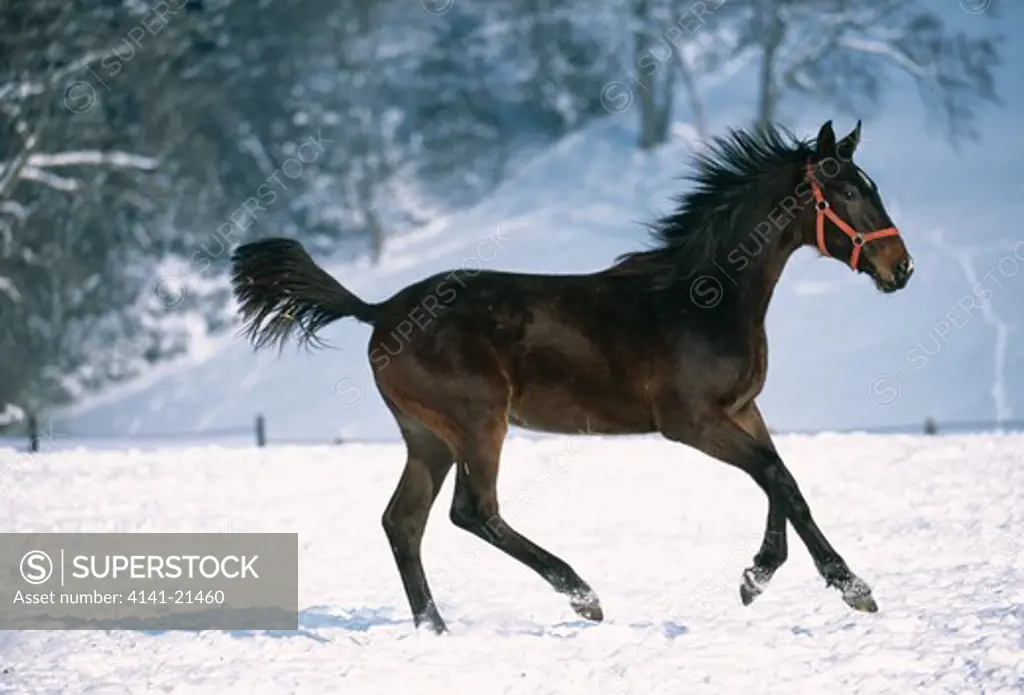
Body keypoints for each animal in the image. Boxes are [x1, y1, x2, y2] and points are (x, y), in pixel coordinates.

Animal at [230, 120, 913, 634]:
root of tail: (379, 311)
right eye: (848, 193)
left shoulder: (743, 410)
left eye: (871, 187)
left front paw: (761, 578)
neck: (704, 298)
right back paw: (583, 595)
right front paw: (846, 587)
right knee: (472, 511)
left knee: (404, 522)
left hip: (428, 438)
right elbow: (775, 476)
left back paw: (436, 629)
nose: (900, 267)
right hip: (477, 424)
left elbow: (782, 480)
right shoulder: (692, 422)